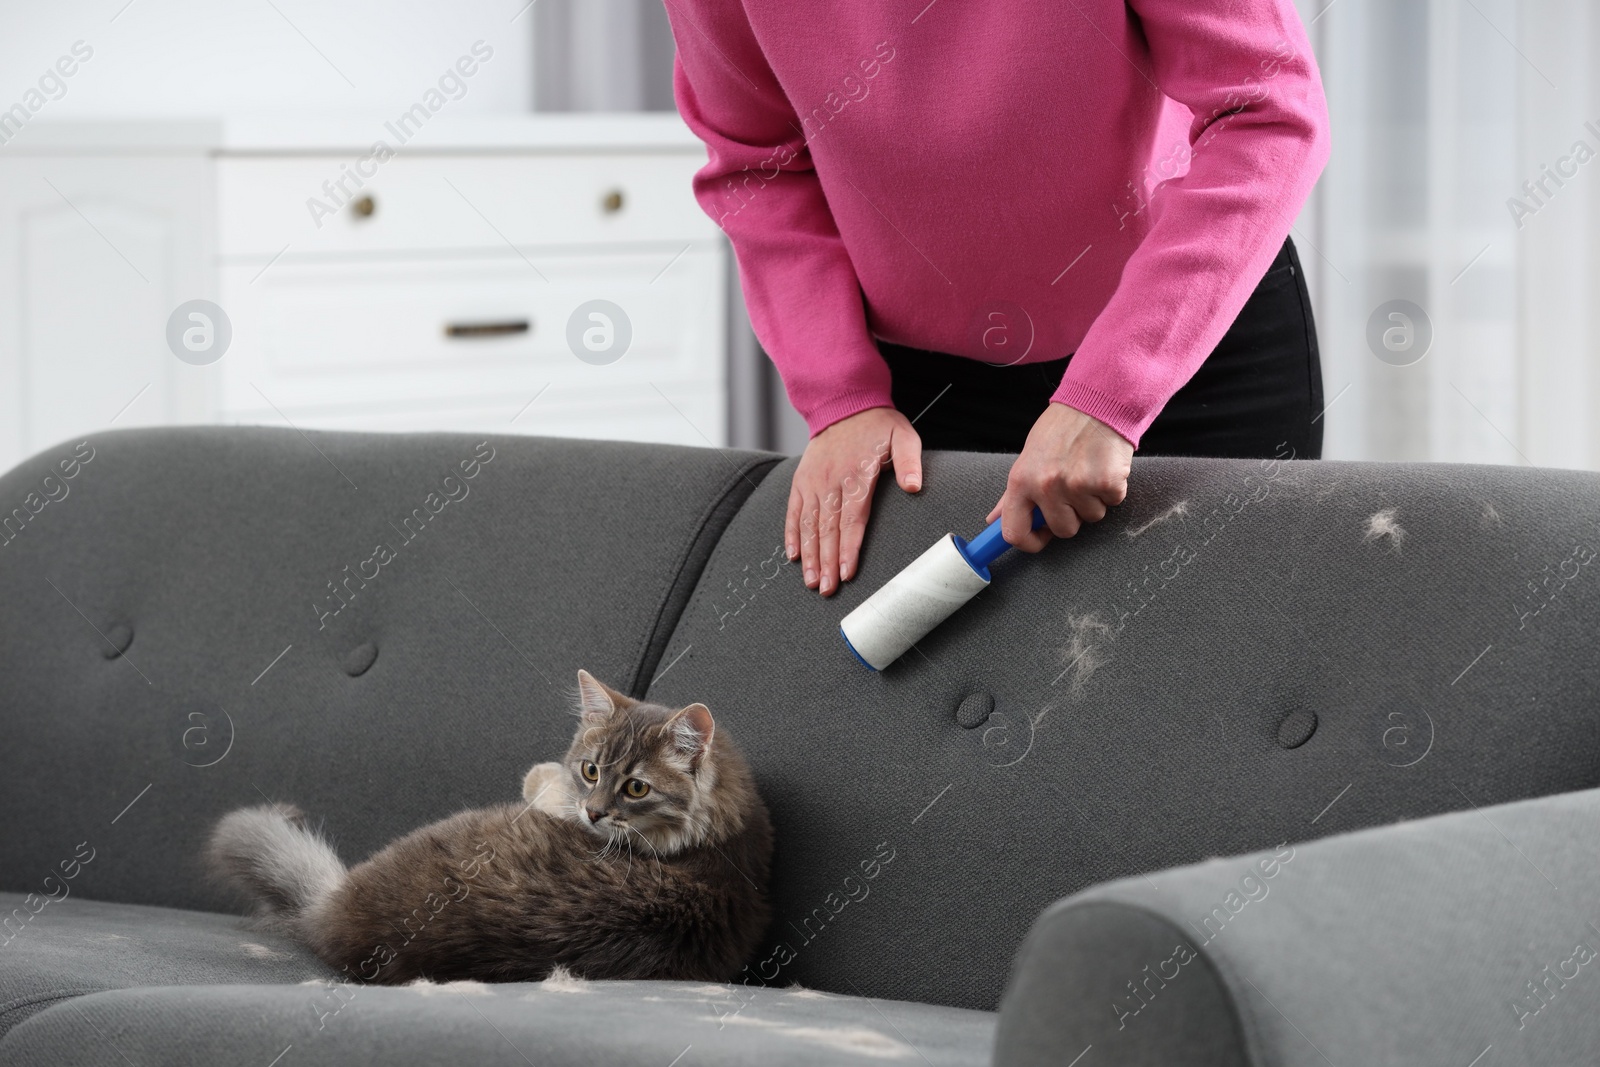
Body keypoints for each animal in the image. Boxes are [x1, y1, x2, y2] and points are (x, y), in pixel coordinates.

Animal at [208, 671, 774, 991]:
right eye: (591, 770)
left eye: (636, 788)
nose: (593, 814)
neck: (726, 841)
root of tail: (329, 911)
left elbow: (541, 786)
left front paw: (541, 778)